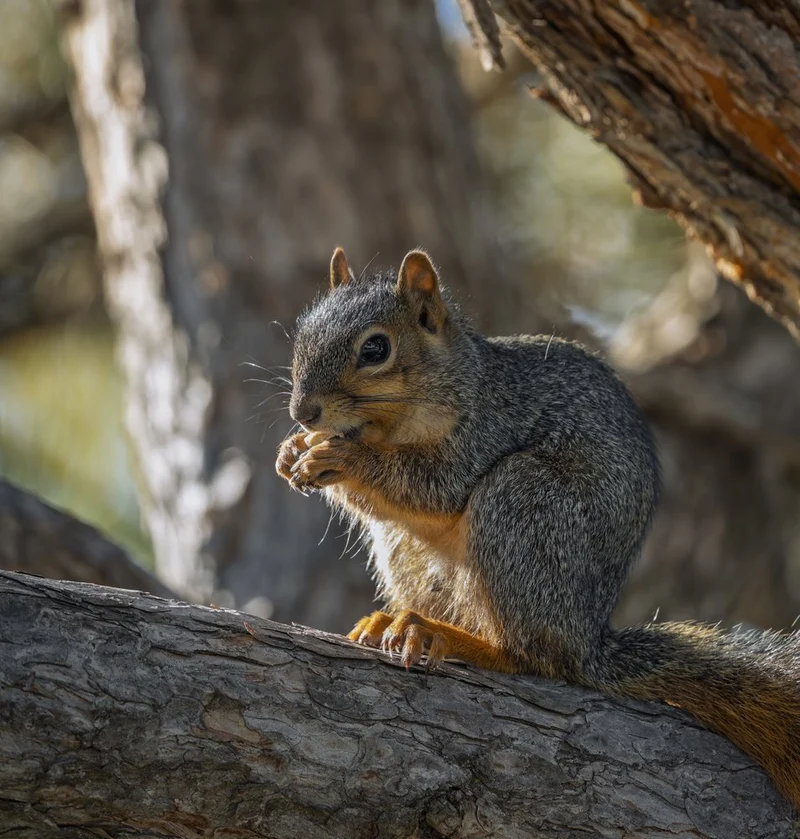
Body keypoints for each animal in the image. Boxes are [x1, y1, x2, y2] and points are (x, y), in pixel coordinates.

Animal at [276, 246, 800, 810]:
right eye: (302, 334)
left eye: (376, 348)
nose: (304, 412)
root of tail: (585, 639)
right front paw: (291, 451)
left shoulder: (486, 429)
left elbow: (434, 486)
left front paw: (342, 457)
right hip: (415, 550)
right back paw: (398, 623)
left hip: (524, 506)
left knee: (532, 657)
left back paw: (445, 636)